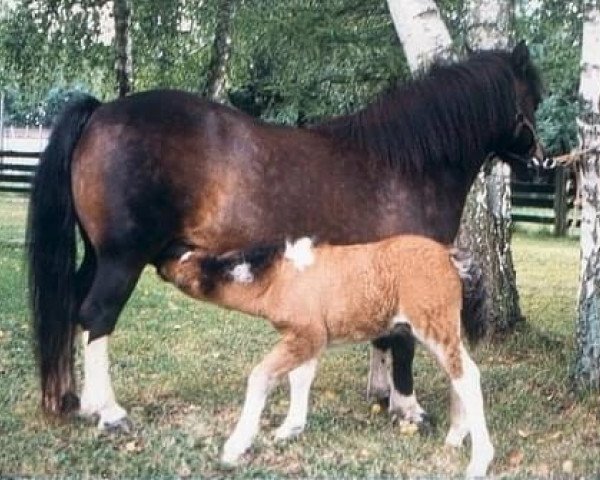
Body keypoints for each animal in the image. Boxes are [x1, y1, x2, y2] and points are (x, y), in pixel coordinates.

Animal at [27, 42, 544, 432]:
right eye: (532, 99)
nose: (540, 162)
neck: (405, 166)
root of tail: (100, 113)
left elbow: (381, 334)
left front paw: (381, 395)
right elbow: (401, 343)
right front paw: (409, 409)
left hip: (98, 257)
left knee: (71, 307)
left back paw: (66, 398)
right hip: (123, 259)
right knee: (97, 315)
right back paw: (108, 411)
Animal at [157, 236, 494, 476]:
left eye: (184, 260)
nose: (161, 256)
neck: (278, 278)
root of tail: (449, 255)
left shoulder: (308, 335)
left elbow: (261, 376)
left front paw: (234, 447)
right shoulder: (306, 340)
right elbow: (300, 377)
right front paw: (289, 429)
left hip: (433, 325)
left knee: (467, 376)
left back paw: (479, 461)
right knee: (459, 374)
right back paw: (455, 438)